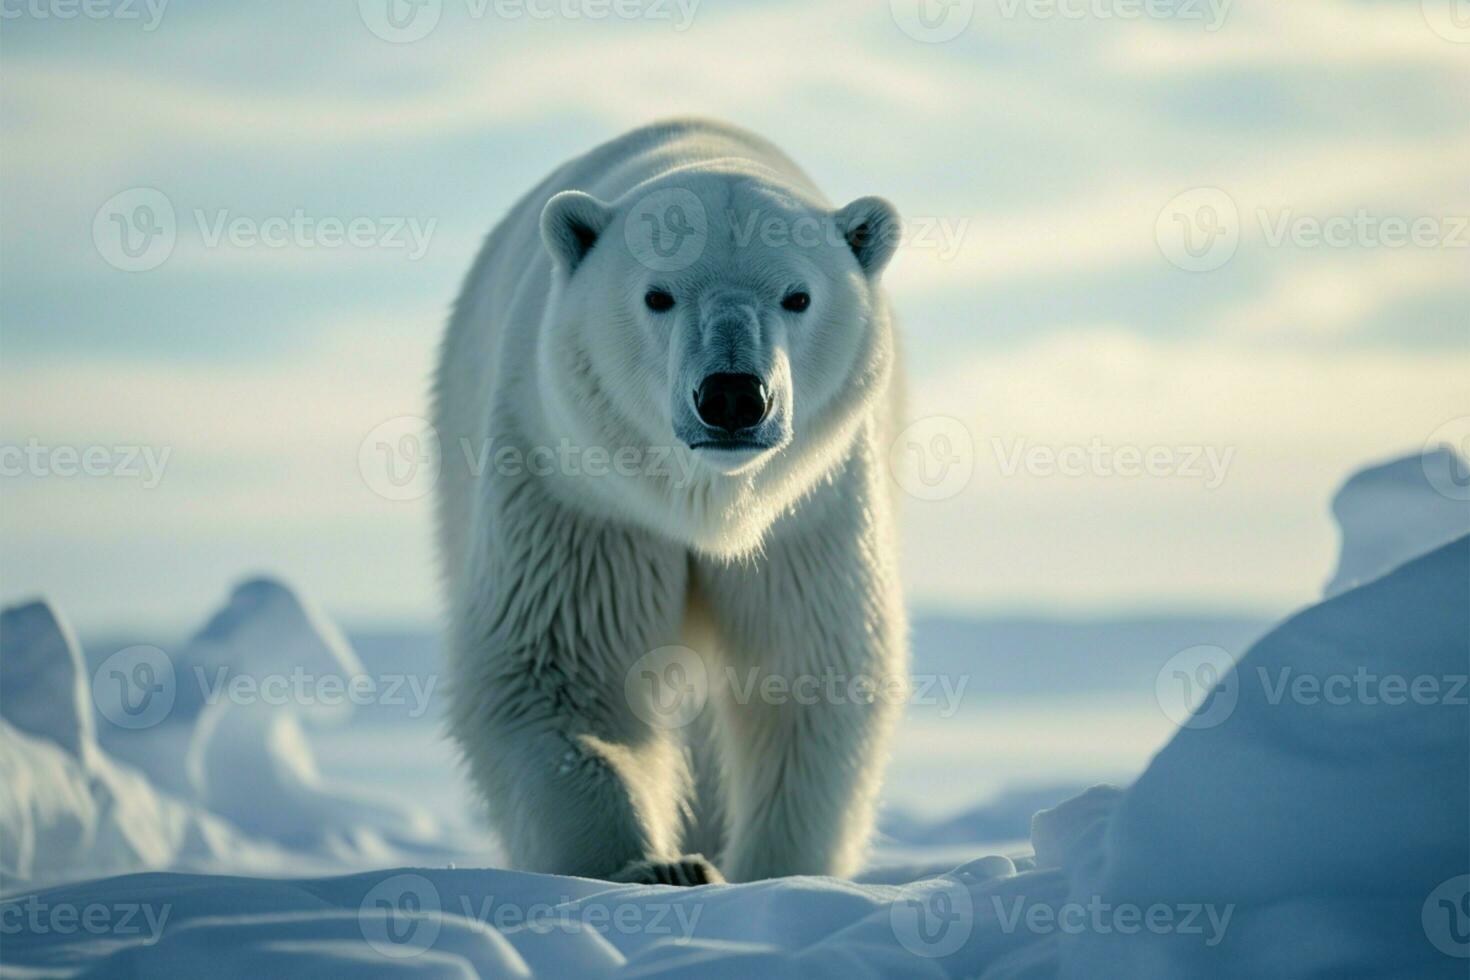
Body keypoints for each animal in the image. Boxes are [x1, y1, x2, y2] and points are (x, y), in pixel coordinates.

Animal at [429, 119, 899, 887]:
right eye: (659, 295)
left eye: (797, 297)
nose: (733, 396)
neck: (704, 502)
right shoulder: (577, 495)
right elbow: (556, 670)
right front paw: (652, 868)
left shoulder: (808, 514)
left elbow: (808, 672)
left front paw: (777, 871)